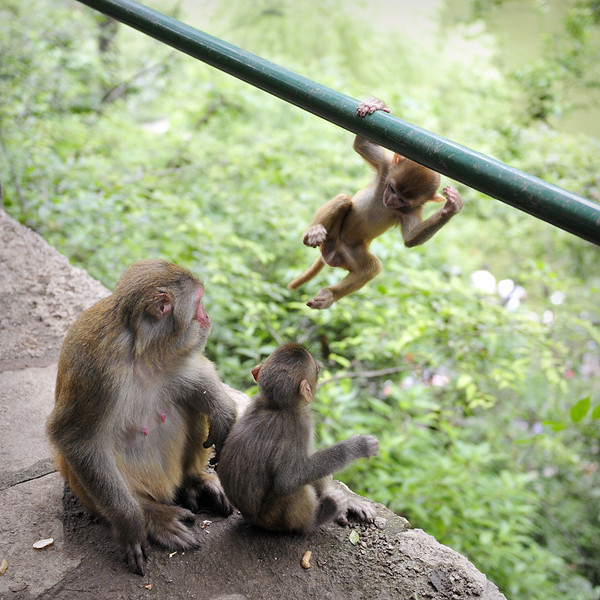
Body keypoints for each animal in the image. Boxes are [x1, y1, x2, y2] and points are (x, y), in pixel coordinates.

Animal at [217, 344, 380, 532]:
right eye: (317, 370)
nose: (320, 368)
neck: (275, 406)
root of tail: (249, 519)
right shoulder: (301, 424)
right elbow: (290, 477)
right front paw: (358, 446)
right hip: (271, 519)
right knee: (293, 487)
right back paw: (319, 517)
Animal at [288, 97, 464, 310]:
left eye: (402, 200)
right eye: (392, 189)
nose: (389, 200)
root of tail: (332, 254)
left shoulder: (411, 210)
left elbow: (411, 238)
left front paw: (451, 208)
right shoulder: (385, 167)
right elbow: (361, 145)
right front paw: (375, 105)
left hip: (350, 253)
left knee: (372, 267)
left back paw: (329, 295)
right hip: (332, 235)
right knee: (344, 199)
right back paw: (312, 233)